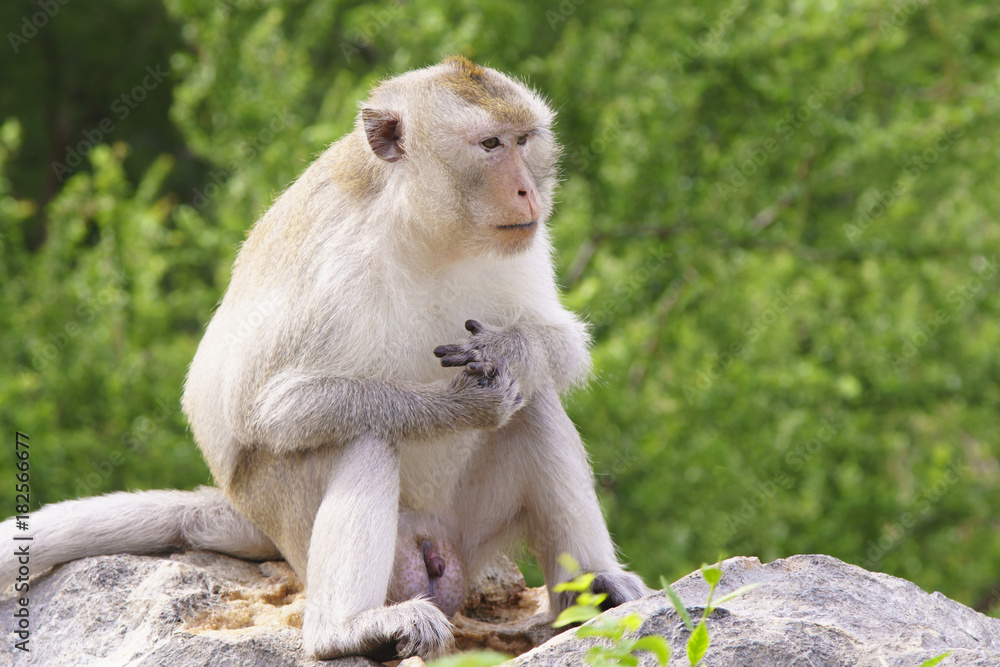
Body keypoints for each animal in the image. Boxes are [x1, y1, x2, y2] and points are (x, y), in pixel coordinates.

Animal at [0, 56, 650, 660]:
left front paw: (509, 351)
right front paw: (463, 406)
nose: (527, 190)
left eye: (524, 140)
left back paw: (591, 593)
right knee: (360, 433)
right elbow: (272, 408)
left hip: (467, 530)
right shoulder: (335, 259)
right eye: (490, 145)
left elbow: (561, 343)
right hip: (296, 521)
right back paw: (348, 629)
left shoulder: (526, 241)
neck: (425, 230)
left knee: (535, 403)